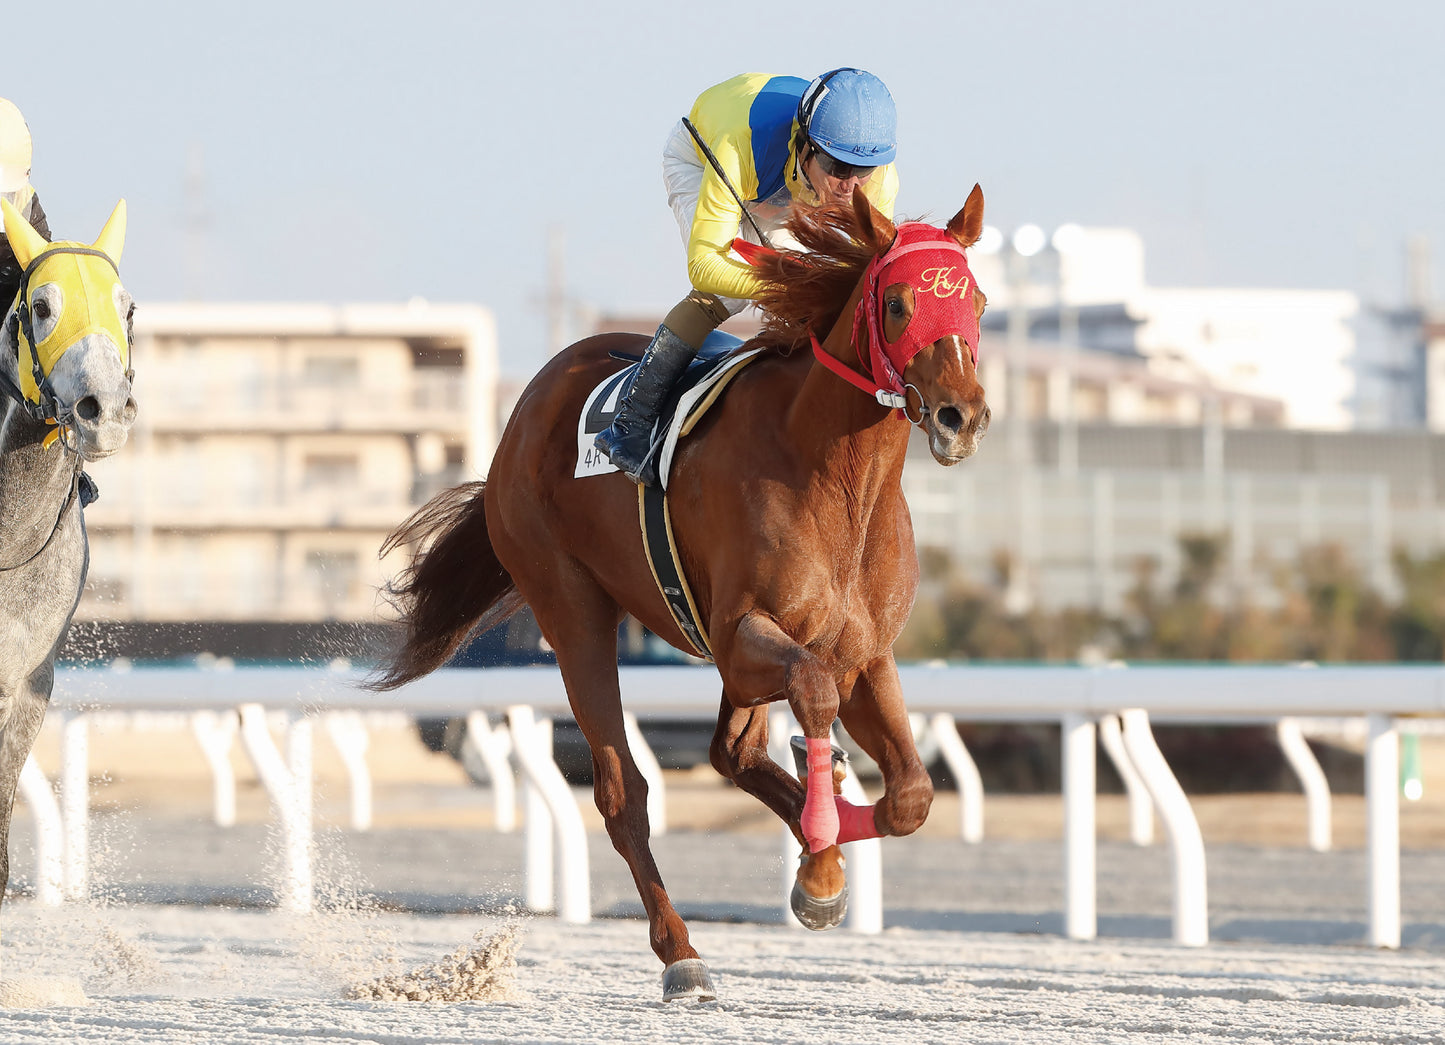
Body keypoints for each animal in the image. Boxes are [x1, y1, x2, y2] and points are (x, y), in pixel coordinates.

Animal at [375, 185, 989, 1001]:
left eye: (975, 301)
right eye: (896, 303)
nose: (962, 416)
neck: (835, 478)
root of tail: (529, 403)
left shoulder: (863, 652)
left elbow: (910, 796)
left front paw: (822, 850)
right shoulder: (741, 635)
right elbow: (813, 691)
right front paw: (821, 862)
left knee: (730, 752)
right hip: (569, 605)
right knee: (622, 789)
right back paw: (680, 951)